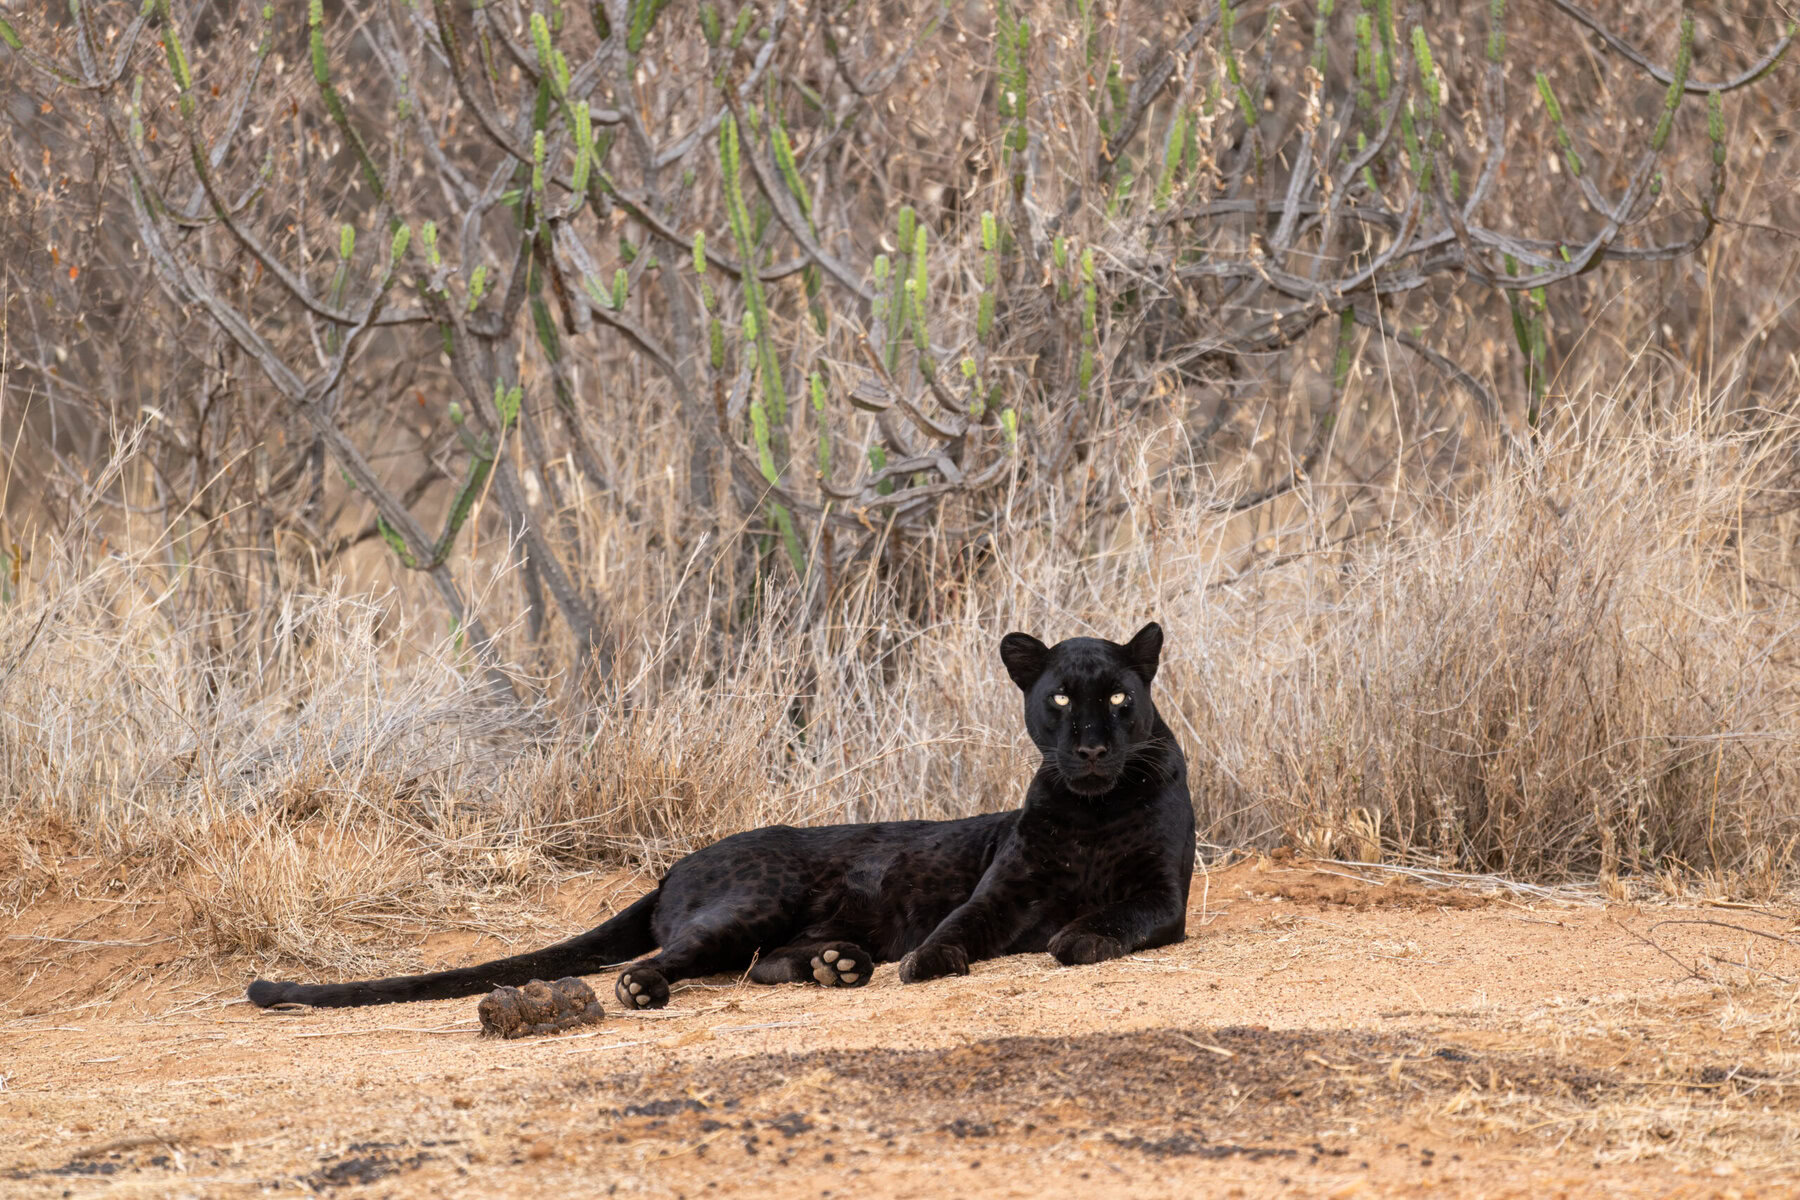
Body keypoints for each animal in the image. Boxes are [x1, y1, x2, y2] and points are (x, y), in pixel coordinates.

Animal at [246, 622, 1194, 1013]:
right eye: (1058, 699)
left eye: (1119, 698)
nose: (1091, 748)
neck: (1092, 809)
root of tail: (677, 864)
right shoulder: (1003, 888)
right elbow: (960, 922)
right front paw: (927, 963)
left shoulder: (1163, 895)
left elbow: (1121, 917)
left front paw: (1077, 937)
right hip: (751, 903)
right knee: (668, 958)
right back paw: (648, 989)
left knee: (758, 964)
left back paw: (839, 967)